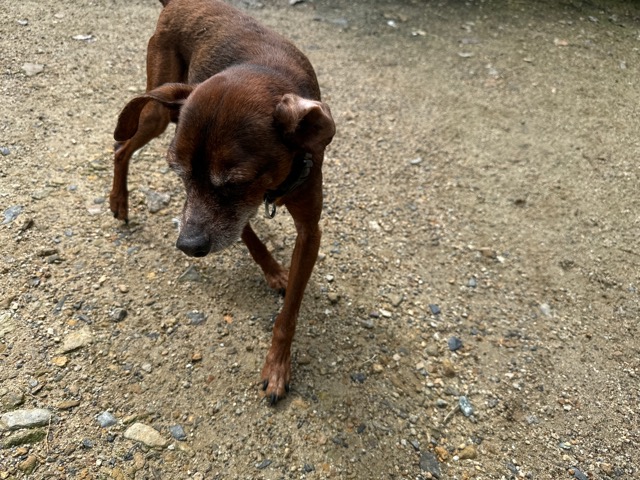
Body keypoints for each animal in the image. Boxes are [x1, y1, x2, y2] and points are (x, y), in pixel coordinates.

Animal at [109, 0, 335, 404]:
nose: (187, 246)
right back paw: (118, 201)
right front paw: (274, 271)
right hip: (160, 109)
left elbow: (289, 311)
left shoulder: (308, 230)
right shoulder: (223, 216)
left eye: (237, 182)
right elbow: (251, 239)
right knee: (122, 146)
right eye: (177, 172)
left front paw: (277, 365)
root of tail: (178, 4)